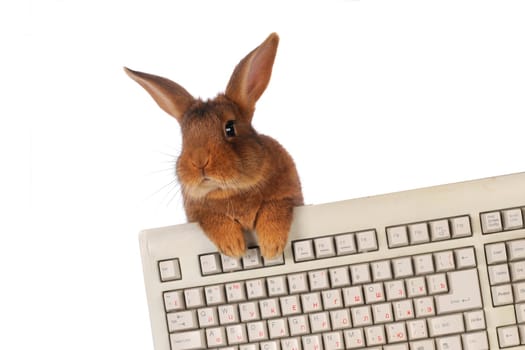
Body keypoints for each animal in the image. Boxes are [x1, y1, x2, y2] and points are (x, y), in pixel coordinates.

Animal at [124, 32, 302, 258]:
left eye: (230, 128)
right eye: (184, 136)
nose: (199, 161)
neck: (231, 191)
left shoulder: (290, 196)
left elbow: (276, 208)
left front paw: (271, 247)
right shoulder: (198, 215)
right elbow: (213, 220)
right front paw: (234, 247)